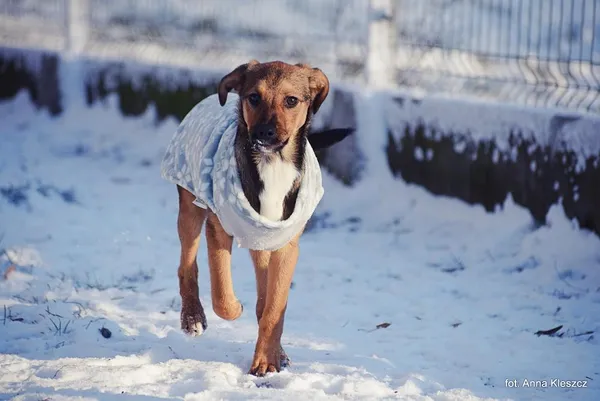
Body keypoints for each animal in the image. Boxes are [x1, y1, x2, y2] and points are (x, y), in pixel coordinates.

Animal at [162, 59, 354, 376]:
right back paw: (192, 317)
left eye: (292, 101)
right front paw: (234, 309)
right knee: (186, 264)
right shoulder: (218, 229)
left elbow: (273, 308)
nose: (264, 133)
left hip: (264, 240)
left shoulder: (287, 246)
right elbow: (222, 295)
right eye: (253, 97)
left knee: (263, 298)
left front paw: (266, 360)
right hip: (190, 208)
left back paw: (277, 350)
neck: (272, 164)